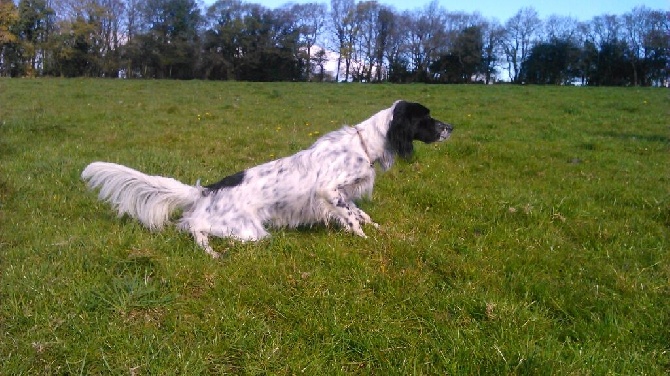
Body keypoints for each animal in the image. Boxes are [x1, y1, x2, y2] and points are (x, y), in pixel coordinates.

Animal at [81, 100, 454, 258]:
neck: (364, 145)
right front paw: (364, 240)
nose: (451, 127)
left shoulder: (343, 195)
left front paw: (385, 233)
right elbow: (352, 218)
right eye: (427, 118)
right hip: (248, 231)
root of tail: (205, 192)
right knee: (195, 227)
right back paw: (211, 251)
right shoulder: (330, 190)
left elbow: (361, 214)